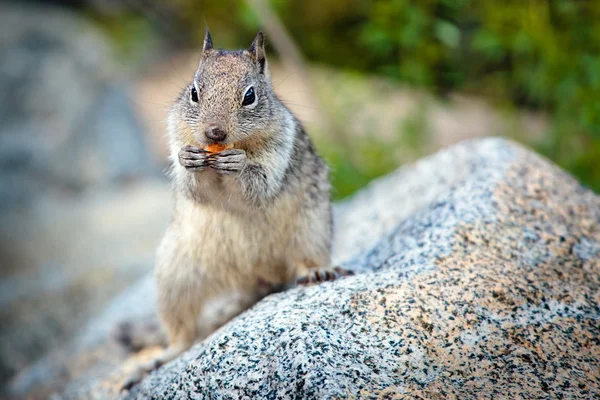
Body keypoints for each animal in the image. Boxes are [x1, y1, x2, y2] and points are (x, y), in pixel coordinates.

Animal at [123, 31, 354, 390]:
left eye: (250, 96)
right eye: (194, 92)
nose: (214, 132)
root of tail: (254, 280)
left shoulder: (277, 154)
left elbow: (257, 185)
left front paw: (239, 164)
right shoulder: (178, 137)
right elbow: (193, 186)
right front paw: (190, 160)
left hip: (311, 231)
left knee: (306, 260)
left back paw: (317, 271)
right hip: (175, 277)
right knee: (183, 333)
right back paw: (155, 361)